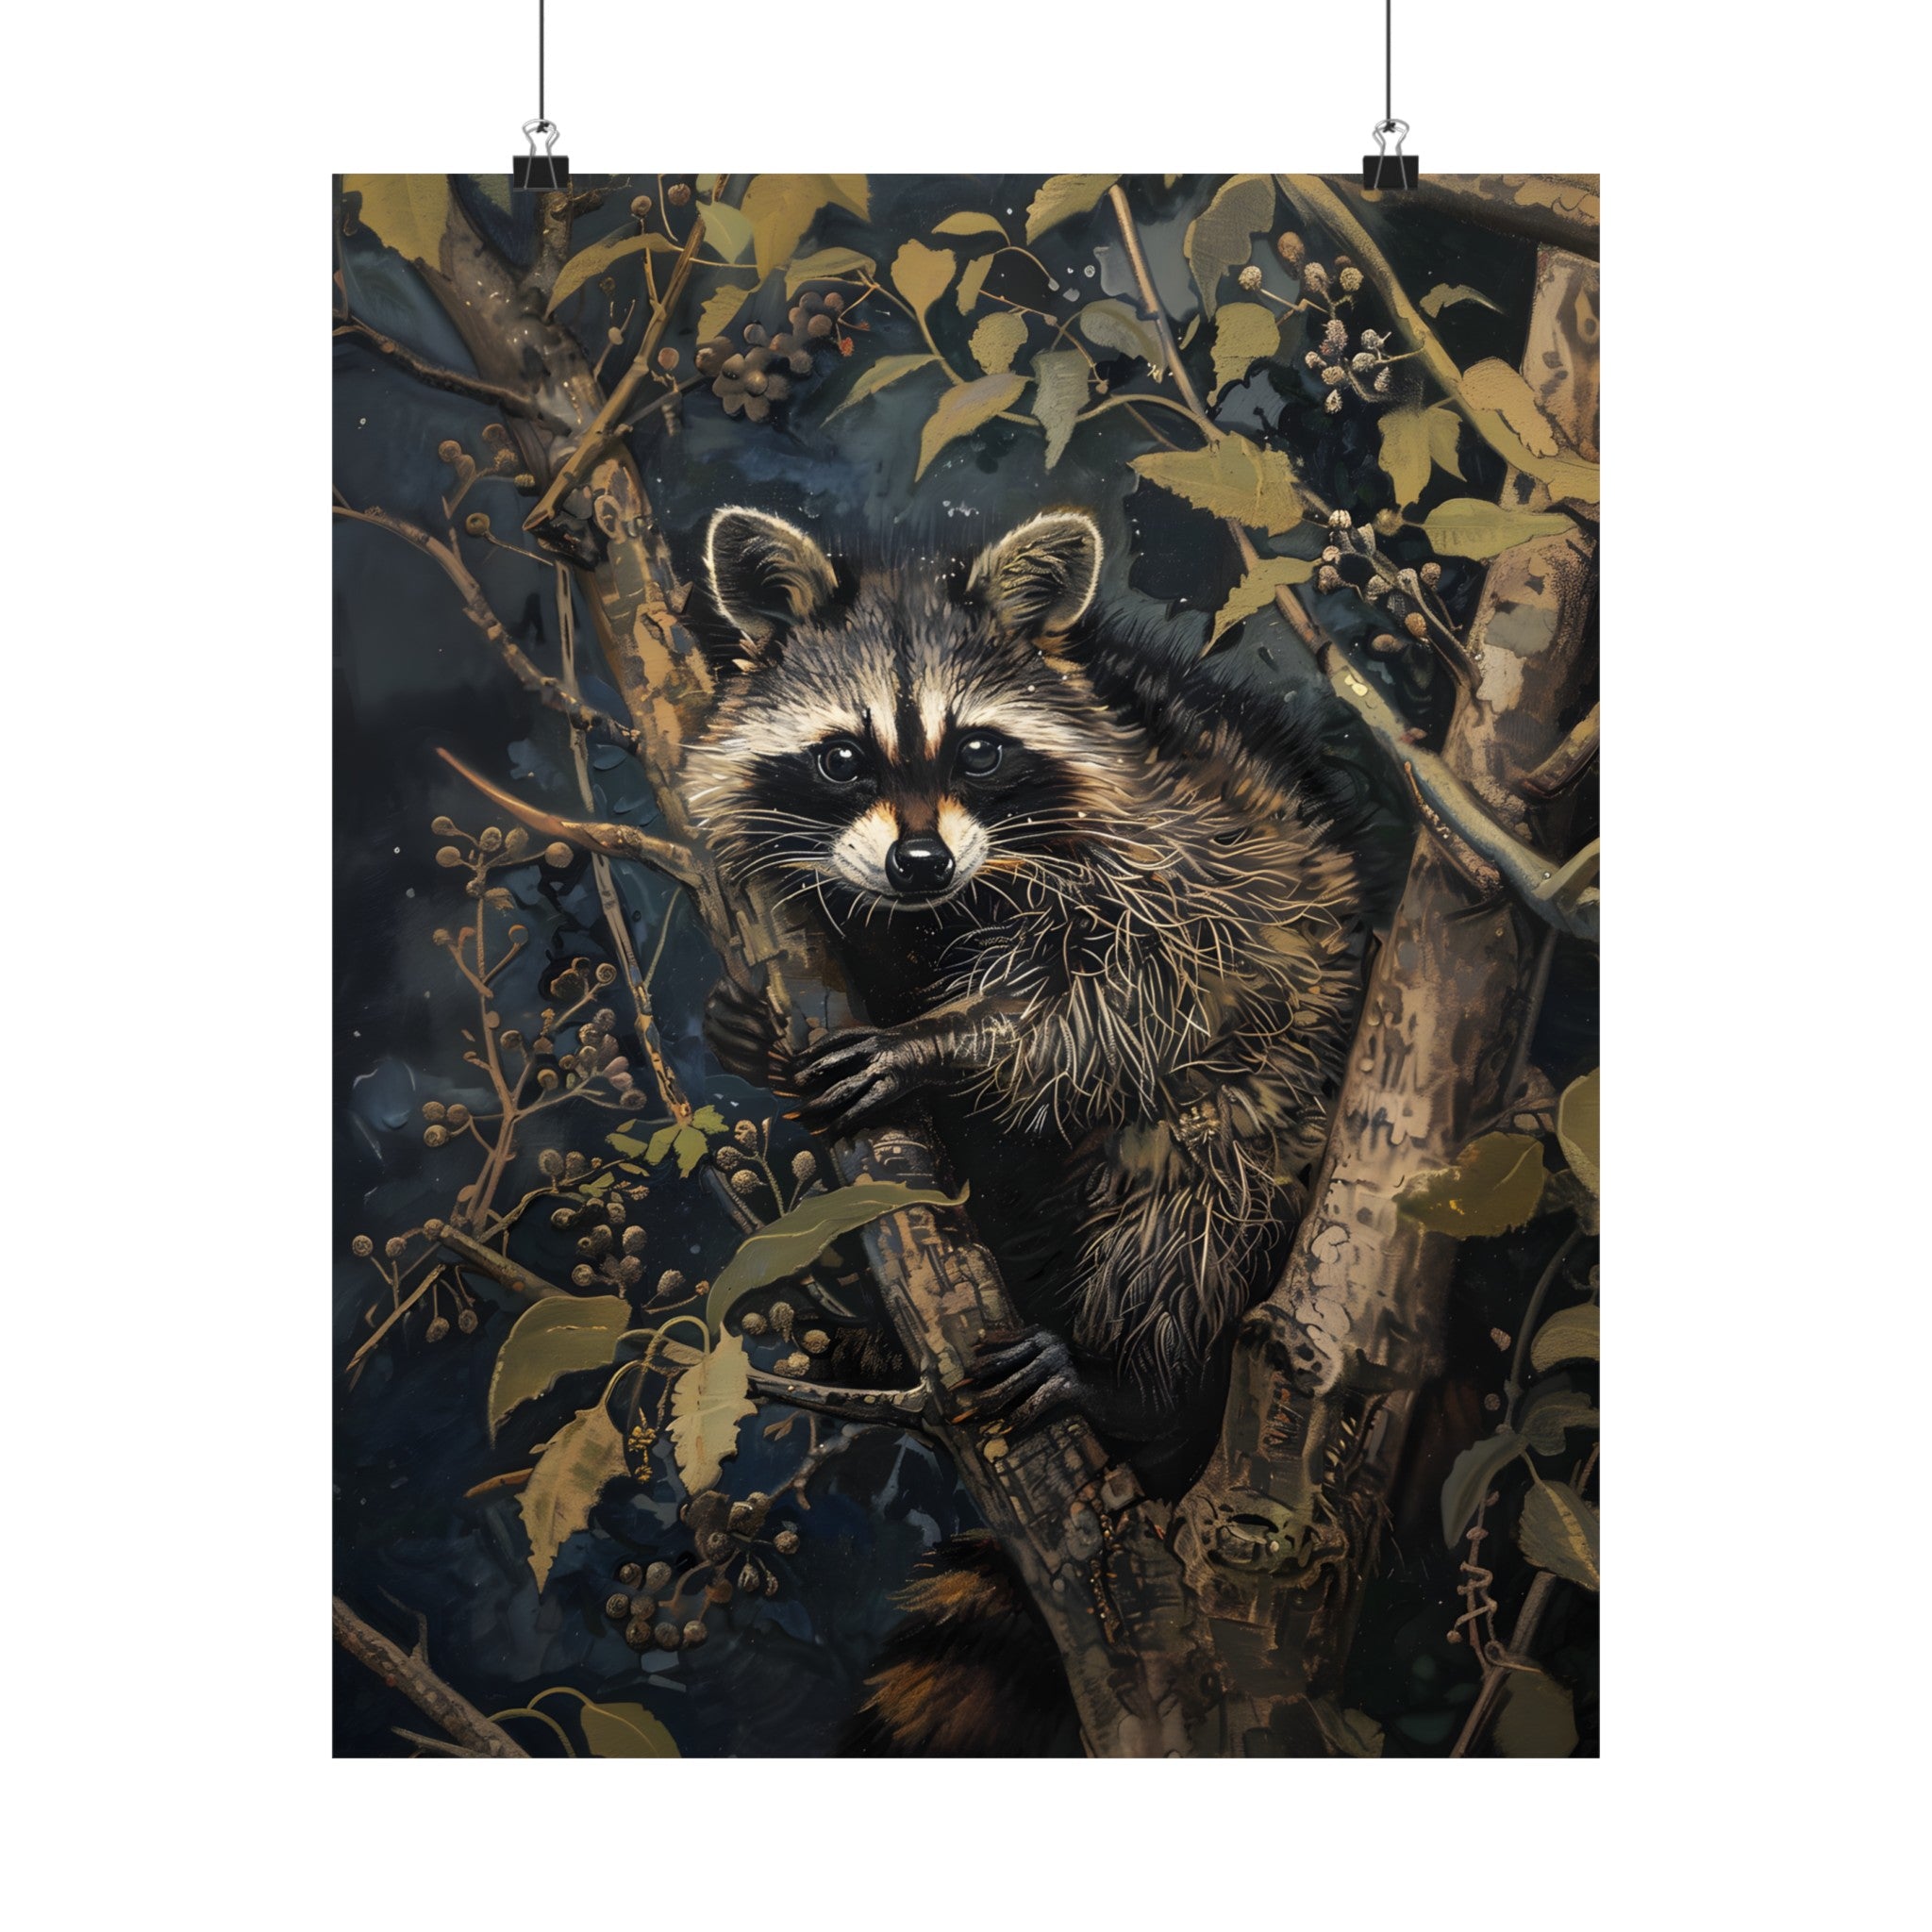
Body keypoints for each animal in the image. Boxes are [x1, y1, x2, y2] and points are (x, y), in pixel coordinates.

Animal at [685, 506, 1363, 1749]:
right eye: (842, 756)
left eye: (979, 751)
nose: (916, 860)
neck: (950, 902)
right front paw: (753, 1028)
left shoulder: (1188, 863)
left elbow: (1118, 1004)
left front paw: (943, 1038)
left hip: (1277, 1105)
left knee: (1188, 1205)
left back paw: (1126, 1374)